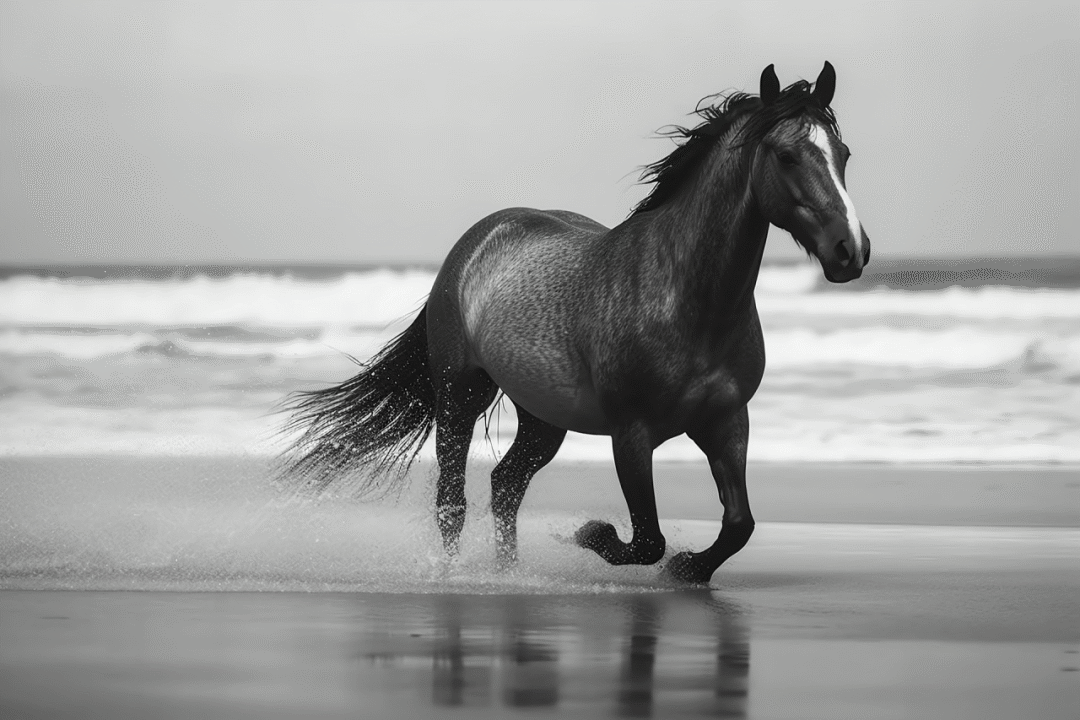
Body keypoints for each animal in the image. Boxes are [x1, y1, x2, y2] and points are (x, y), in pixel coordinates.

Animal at [280, 59, 868, 582]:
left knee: (506, 485)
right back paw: (455, 576)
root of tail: (477, 240)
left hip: (544, 418)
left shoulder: (727, 423)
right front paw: (592, 533)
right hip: (460, 395)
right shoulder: (631, 434)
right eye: (787, 156)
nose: (851, 251)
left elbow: (738, 524)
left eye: (842, 153)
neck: (685, 300)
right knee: (453, 499)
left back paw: (509, 574)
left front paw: (689, 568)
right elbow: (646, 539)